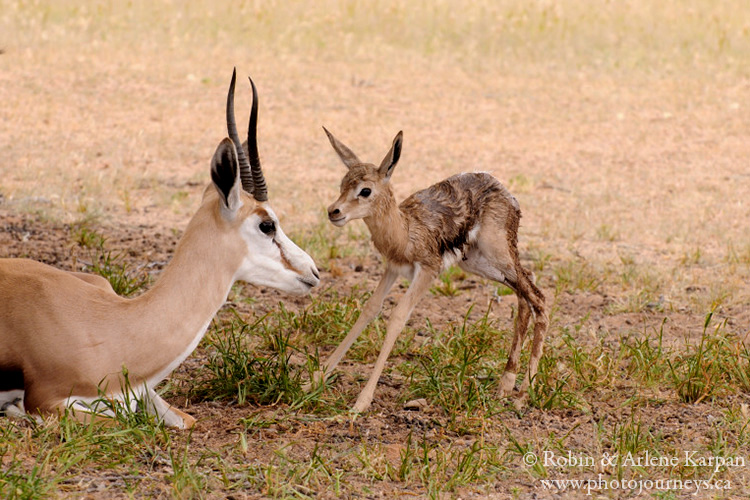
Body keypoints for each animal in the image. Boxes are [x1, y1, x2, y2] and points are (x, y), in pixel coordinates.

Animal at [0, 71, 320, 430]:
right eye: (267, 225)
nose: (313, 271)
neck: (116, 328)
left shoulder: (143, 393)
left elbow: (187, 421)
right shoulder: (47, 400)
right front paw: (13, 409)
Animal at [314, 129, 548, 414]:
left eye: (365, 190)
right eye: (342, 184)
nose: (333, 212)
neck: (405, 231)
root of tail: (507, 193)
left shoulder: (428, 271)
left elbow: (397, 317)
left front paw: (361, 402)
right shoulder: (392, 270)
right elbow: (369, 309)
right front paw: (314, 380)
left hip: (498, 255)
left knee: (538, 297)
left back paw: (523, 395)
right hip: (477, 262)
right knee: (526, 290)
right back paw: (505, 385)